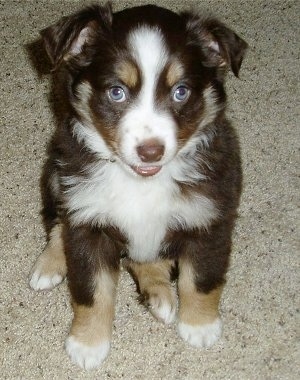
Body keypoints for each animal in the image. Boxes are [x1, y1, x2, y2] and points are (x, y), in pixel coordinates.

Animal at [29, 2, 247, 372]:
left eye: (181, 91)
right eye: (117, 92)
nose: (151, 150)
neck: (143, 181)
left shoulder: (208, 215)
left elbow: (201, 278)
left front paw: (200, 325)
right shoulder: (88, 221)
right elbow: (93, 290)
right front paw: (88, 344)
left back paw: (159, 293)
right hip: (57, 174)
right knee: (58, 223)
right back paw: (48, 266)